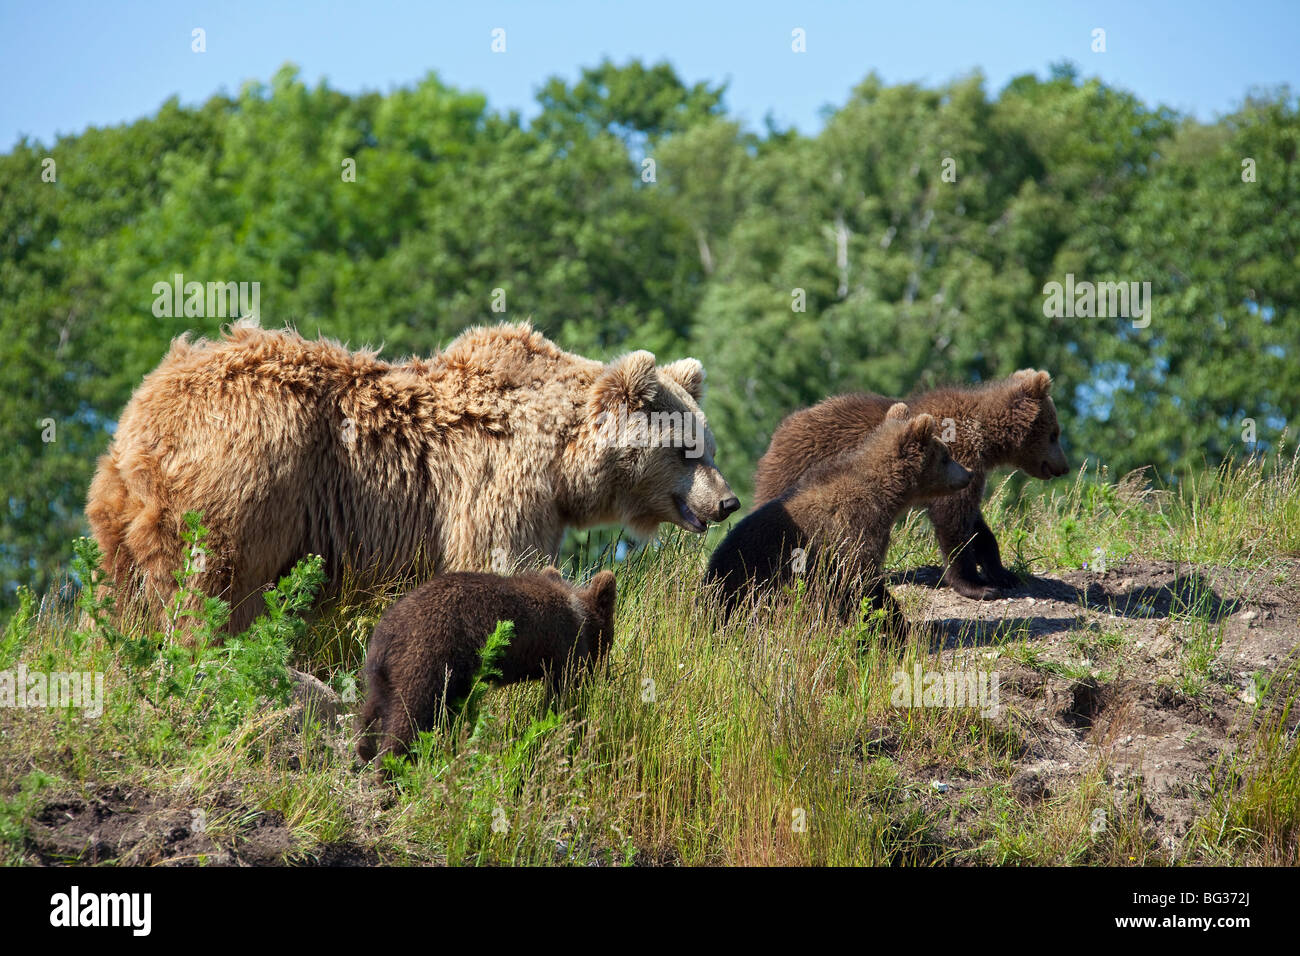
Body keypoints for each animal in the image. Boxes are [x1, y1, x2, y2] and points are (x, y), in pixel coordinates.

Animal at [86, 321, 736, 635]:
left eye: (706, 444)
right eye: (686, 451)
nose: (727, 501)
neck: (562, 459)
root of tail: (145, 411)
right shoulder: (500, 483)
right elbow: (501, 559)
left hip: (121, 504)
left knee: (122, 591)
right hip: (249, 469)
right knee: (213, 580)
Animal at [356, 567, 617, 765]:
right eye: (609, 642)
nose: (606, 674)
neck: (579, 615)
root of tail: (386, 634)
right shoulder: (564, 648)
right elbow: (563, 695)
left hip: (385, 671)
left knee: (374, 707)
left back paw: (365, 747)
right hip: (428, 657)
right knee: (410, 711)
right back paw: (391, 769)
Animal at [706, 406, 972, 639]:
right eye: (946, 456)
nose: (968, 473)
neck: (885, 494)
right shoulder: (854, 530)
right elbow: (862, 581)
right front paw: (898, 623)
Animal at [752, 370, 1068, 600]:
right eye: (1055, 433)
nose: (1063, 466)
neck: (983, 437)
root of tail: (779, 432)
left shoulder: (965, 473)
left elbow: (976, 524)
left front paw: (1003, 573)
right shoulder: (956, 458)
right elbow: (952, 521)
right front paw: (976, 585)